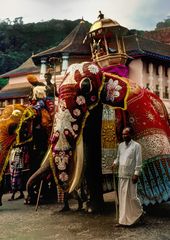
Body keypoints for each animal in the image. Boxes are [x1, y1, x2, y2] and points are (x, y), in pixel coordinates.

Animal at [25, 61, 170, 212]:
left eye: (86, 87)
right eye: (57, 92)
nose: (29, 200)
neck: (105, 75)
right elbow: (90, 159)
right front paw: (92, 209)